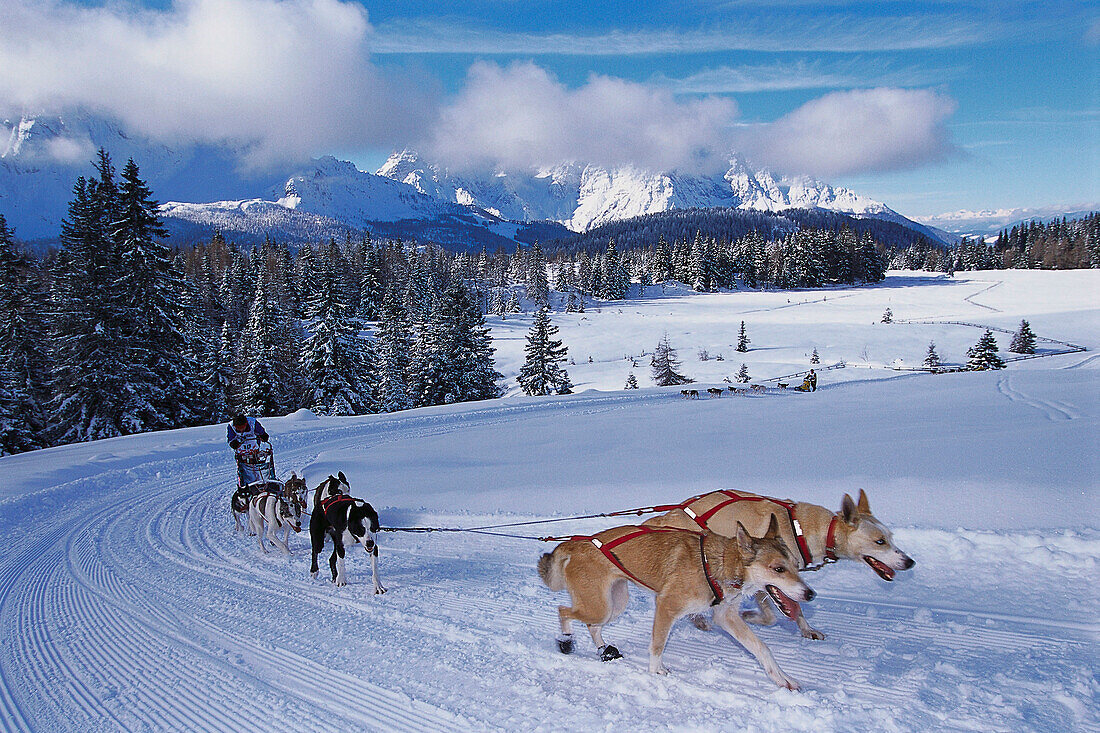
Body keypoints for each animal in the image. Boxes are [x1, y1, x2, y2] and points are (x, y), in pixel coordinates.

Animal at [536, 510, 814, 686]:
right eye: (778, 569)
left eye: (795, 565)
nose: (810, 594)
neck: (719, 563)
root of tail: (575, 544)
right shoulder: (666, 606)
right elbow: (658, 645)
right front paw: (655, 671)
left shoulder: (726, 617)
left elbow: (762, 648)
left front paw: (782, 678)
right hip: (599, 606)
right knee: (563, 610)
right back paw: (565, 640)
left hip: (614, 604)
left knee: (592, 626)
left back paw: (605, 651)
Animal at [642, 488, 910, 638]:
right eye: (879, 541)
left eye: (891, 537)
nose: (909, 562)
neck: (801, 528)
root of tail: (664, 518)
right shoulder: (766, 578)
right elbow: (777, 612)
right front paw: (751, 615)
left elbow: (792, 607)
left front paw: (807, 630)